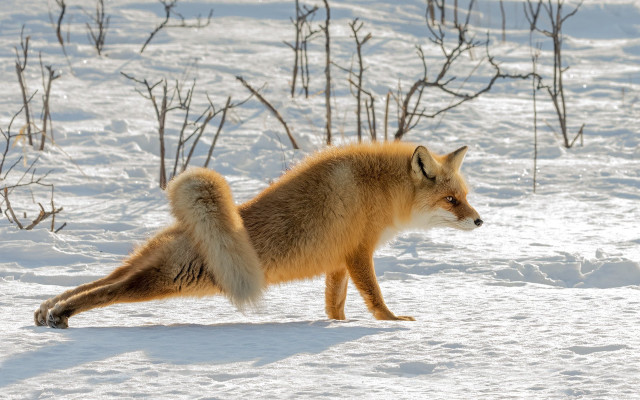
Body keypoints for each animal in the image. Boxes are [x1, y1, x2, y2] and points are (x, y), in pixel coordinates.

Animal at [34, 141, 482, 328]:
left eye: (464, 197)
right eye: (450, 200)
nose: (479, 221)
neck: (381, 187)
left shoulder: (338, 261)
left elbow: (334, 305)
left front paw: (339, 325)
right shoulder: (359, 253)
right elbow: (375, 297)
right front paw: (391, 323)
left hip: (146, 265)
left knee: (101, 280)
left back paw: (48, 309)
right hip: (166, 281)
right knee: (107, 291)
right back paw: (63, 313)